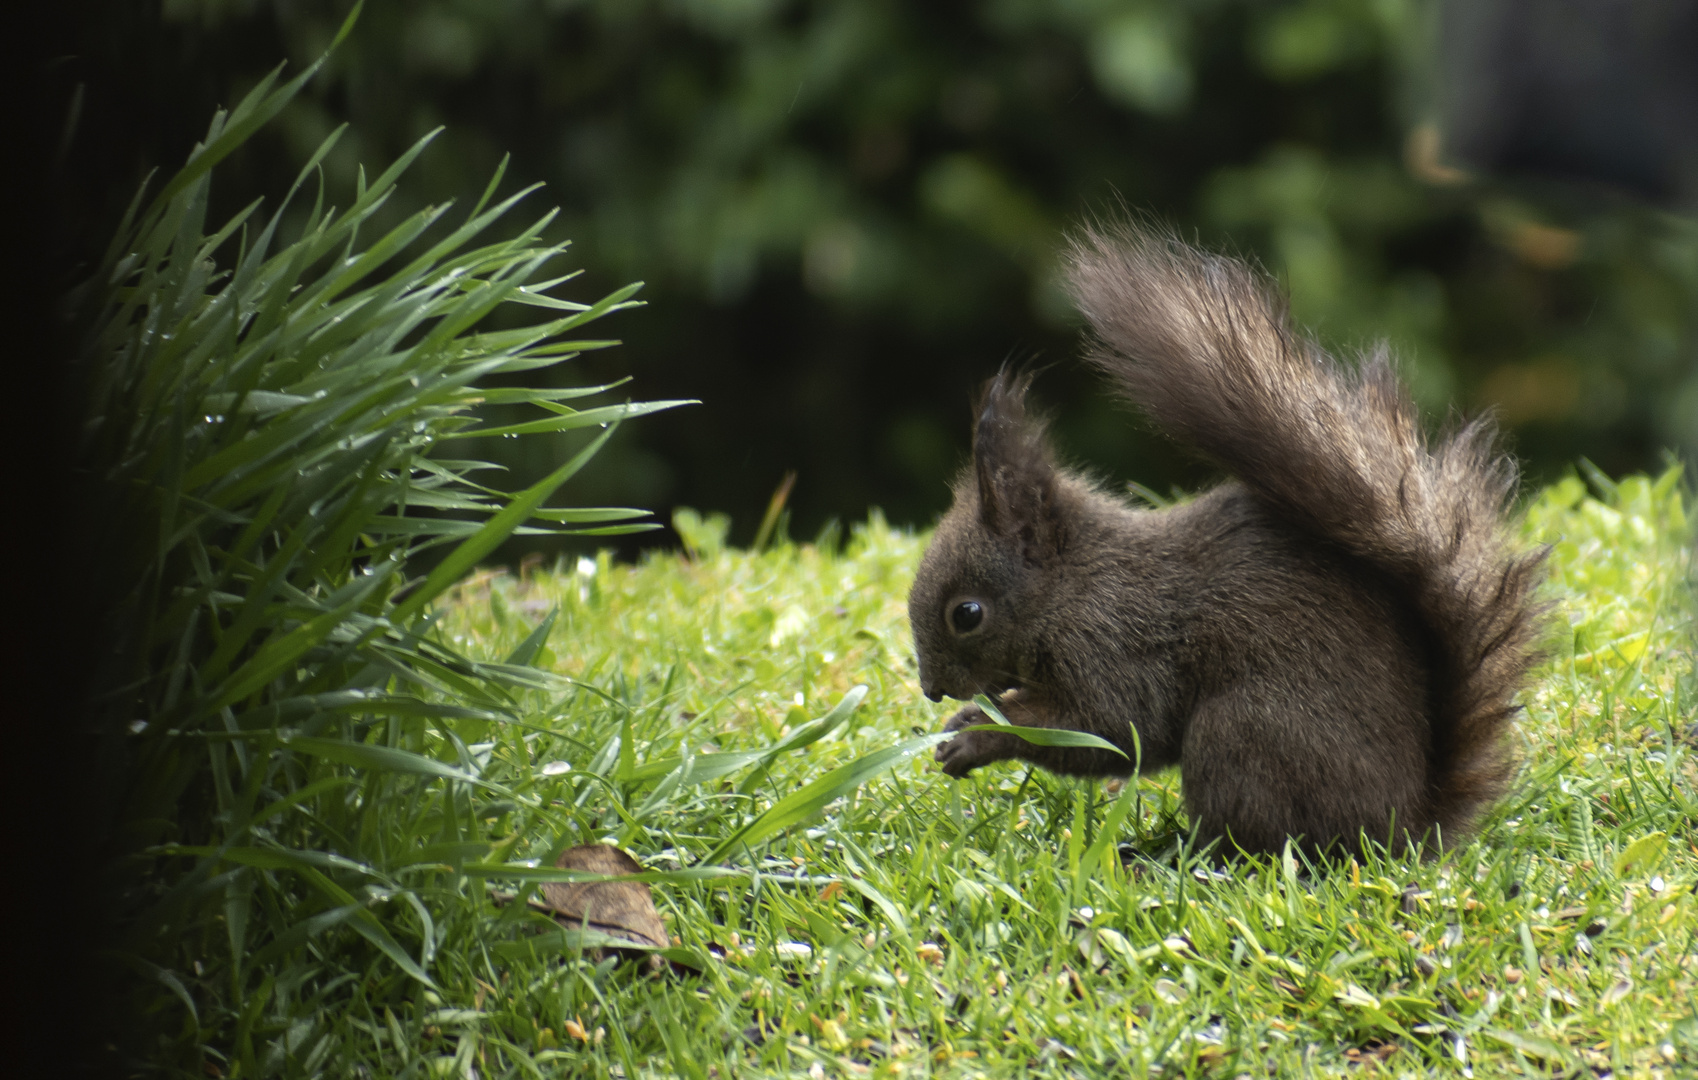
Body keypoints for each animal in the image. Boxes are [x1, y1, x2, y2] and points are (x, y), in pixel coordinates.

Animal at [910, 224, 1548, 855]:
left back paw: (1164, 857)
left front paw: (978, 735)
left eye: (967, 614)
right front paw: (963, 724)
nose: (932, 690)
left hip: (1242, 734)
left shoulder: (1117, 646)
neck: (1078, 583)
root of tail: (1403, 830)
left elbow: (1109, 727)